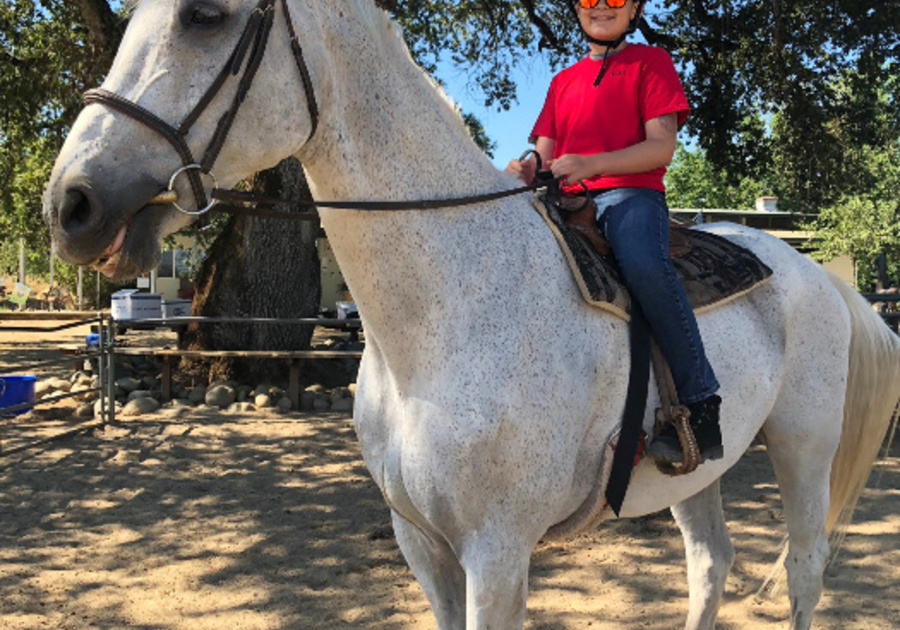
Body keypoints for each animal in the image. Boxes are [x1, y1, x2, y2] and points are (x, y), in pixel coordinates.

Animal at [44, 2, 900, 628]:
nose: (70, 205)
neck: (443, 314)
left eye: (205, 16)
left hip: (804, 449)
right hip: (697, 472)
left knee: (805, 570)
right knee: (710, 565)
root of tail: (818, 277)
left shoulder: (496, 553)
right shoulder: (422, 546)